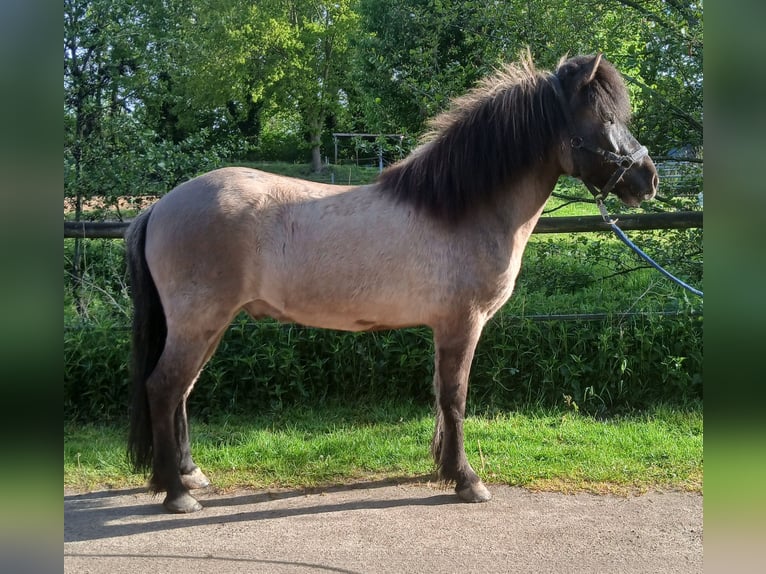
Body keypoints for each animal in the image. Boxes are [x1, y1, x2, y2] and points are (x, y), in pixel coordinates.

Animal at [126, 52, 658, 513]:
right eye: (604, 118)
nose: (648, 179)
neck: (461, 209)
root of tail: (160, 206)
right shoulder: (463, 324)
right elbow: (455, 397)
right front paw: (466, 480)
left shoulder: (446, 328)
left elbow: (441, 395)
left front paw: (443, 468)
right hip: (198, 322)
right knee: (164, 388)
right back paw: (177, 493)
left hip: (209, 326)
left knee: (182, 392)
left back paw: (189, 474)